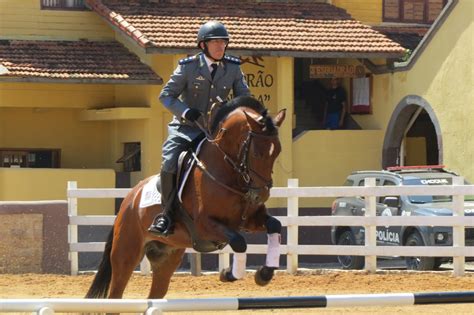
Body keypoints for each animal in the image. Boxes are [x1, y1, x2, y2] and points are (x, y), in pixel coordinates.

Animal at [84, 96, 286, 302]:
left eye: (278, 151)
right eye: (256, 153)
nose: (261, 195)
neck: (228, 171)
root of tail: (129, 199)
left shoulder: (248, 220)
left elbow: (275, 225)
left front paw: (264, 273)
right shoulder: (205, 225)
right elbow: (239, 242)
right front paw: (228, 274)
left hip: (167, 257)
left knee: (156, 293)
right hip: (126, 254)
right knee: (115, 293)